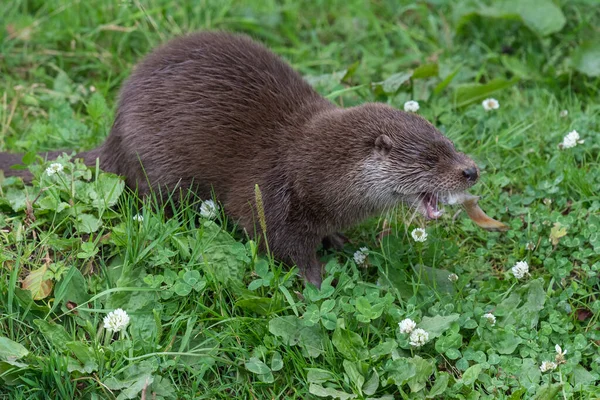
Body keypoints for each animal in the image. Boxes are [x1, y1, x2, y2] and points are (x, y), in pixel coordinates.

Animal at [0, 32, 478, 286]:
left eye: (450, 144)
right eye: (431, 158)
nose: (472, 171)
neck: (316, 169)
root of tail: (114, 135)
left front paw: (341, 243)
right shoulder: (269, 197)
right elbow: (281, 244)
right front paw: (316, 279)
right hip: (157, 168)